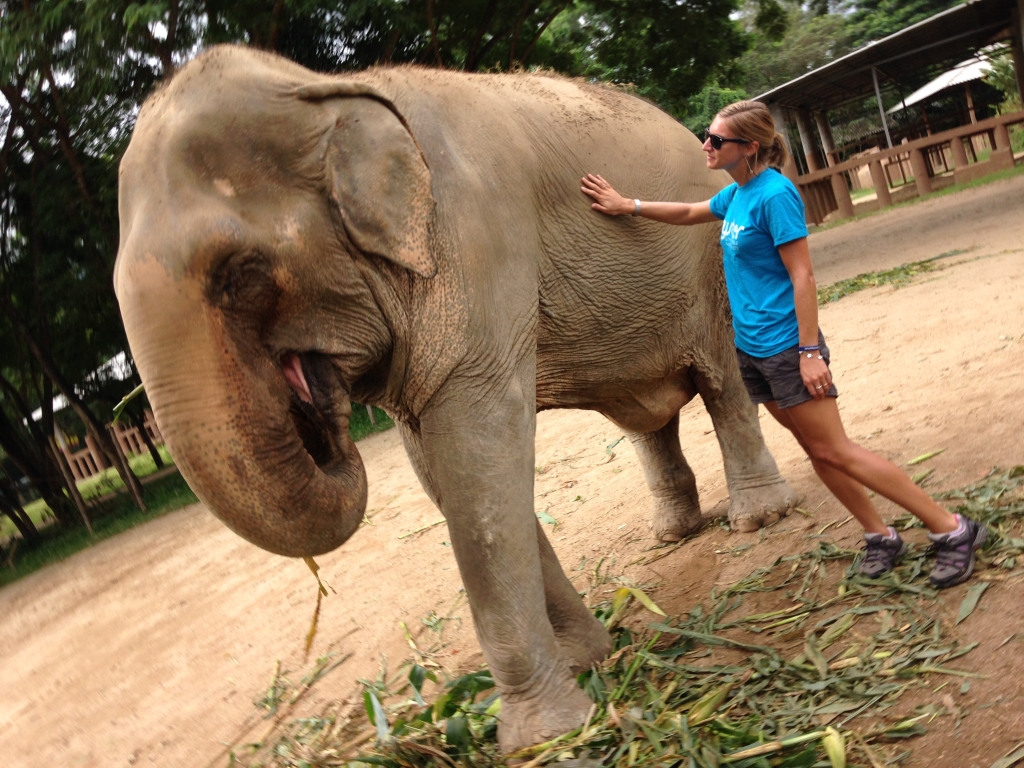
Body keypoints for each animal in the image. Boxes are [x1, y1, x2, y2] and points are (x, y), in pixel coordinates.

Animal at [114, 45, 798, 753]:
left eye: (240, 274)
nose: (319, 407)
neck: (323, 91)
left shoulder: (476, 240)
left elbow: (477, 448)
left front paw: (542, 736)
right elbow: (442, 467)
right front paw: (588, 661)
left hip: (713, 266)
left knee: (722, 381)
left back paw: (758, 519)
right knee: (646, 416)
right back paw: (673, 534)